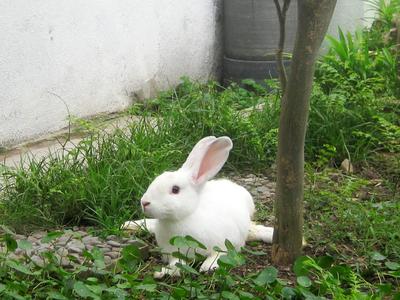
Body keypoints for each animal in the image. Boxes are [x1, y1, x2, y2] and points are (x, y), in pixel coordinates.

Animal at [121, 137, 272, 278]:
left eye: (175, 190)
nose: (144, 202)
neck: (182, 218)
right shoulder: (174, 252)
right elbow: (177, 263)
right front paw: (164, 272)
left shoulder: (226, 242)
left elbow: (219, 254)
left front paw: (208, 267)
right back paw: (127, 225)